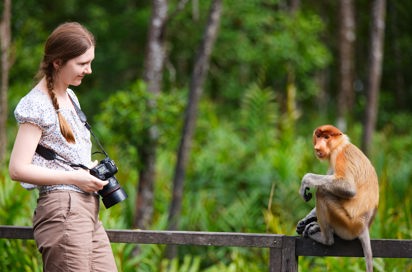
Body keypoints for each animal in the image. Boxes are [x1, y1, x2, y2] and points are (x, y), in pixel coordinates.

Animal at [296, 125, 380, 272]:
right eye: (318, 136)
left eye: (326, 137)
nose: (318, 146)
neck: (340, 145)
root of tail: (364, 226)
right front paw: (305, 220)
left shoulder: (339, 155)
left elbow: (348, 188)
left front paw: (306, 180)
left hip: (348, 225)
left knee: (322, 192)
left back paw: (325, 238)